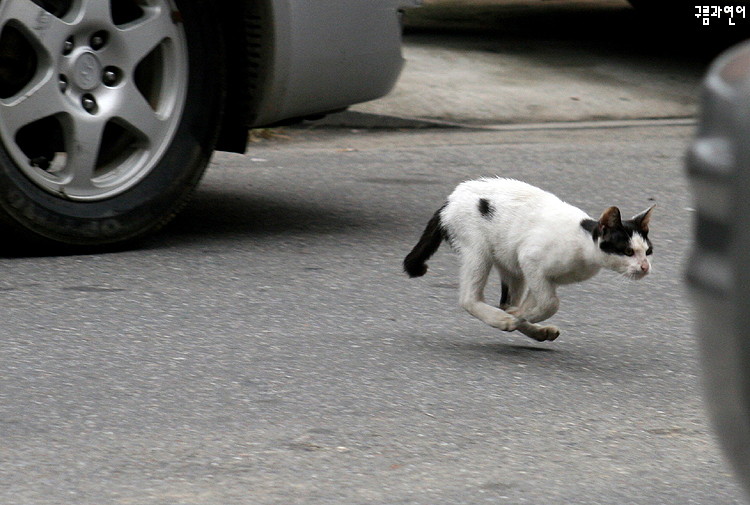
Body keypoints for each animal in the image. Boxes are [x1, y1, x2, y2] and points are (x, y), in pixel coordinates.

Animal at [402, 175, 656, 340]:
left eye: (648, 251)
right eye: (628, 251)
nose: (645, 267)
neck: (584, 249)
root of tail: (451, 199)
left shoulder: (543, 276)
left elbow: (537, 302)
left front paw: (523, 317)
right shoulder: (531, 260)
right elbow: (550, 303)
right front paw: (518, 317)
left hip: (510, 263)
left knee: (505, 302)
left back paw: (533, 329)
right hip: (478, 250)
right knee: (469, 298)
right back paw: (503, 319)